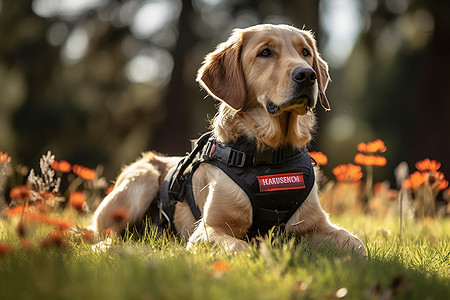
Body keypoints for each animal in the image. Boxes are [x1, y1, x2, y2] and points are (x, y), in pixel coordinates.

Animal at [89, 24, 368, 256]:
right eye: (265, 52)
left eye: (305, 52)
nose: (307, 75)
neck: (270, 155)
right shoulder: (208, 230)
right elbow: (241, 248)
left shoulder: (316, 224)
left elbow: (357, 245)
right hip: (141, 179)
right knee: (103, 235)